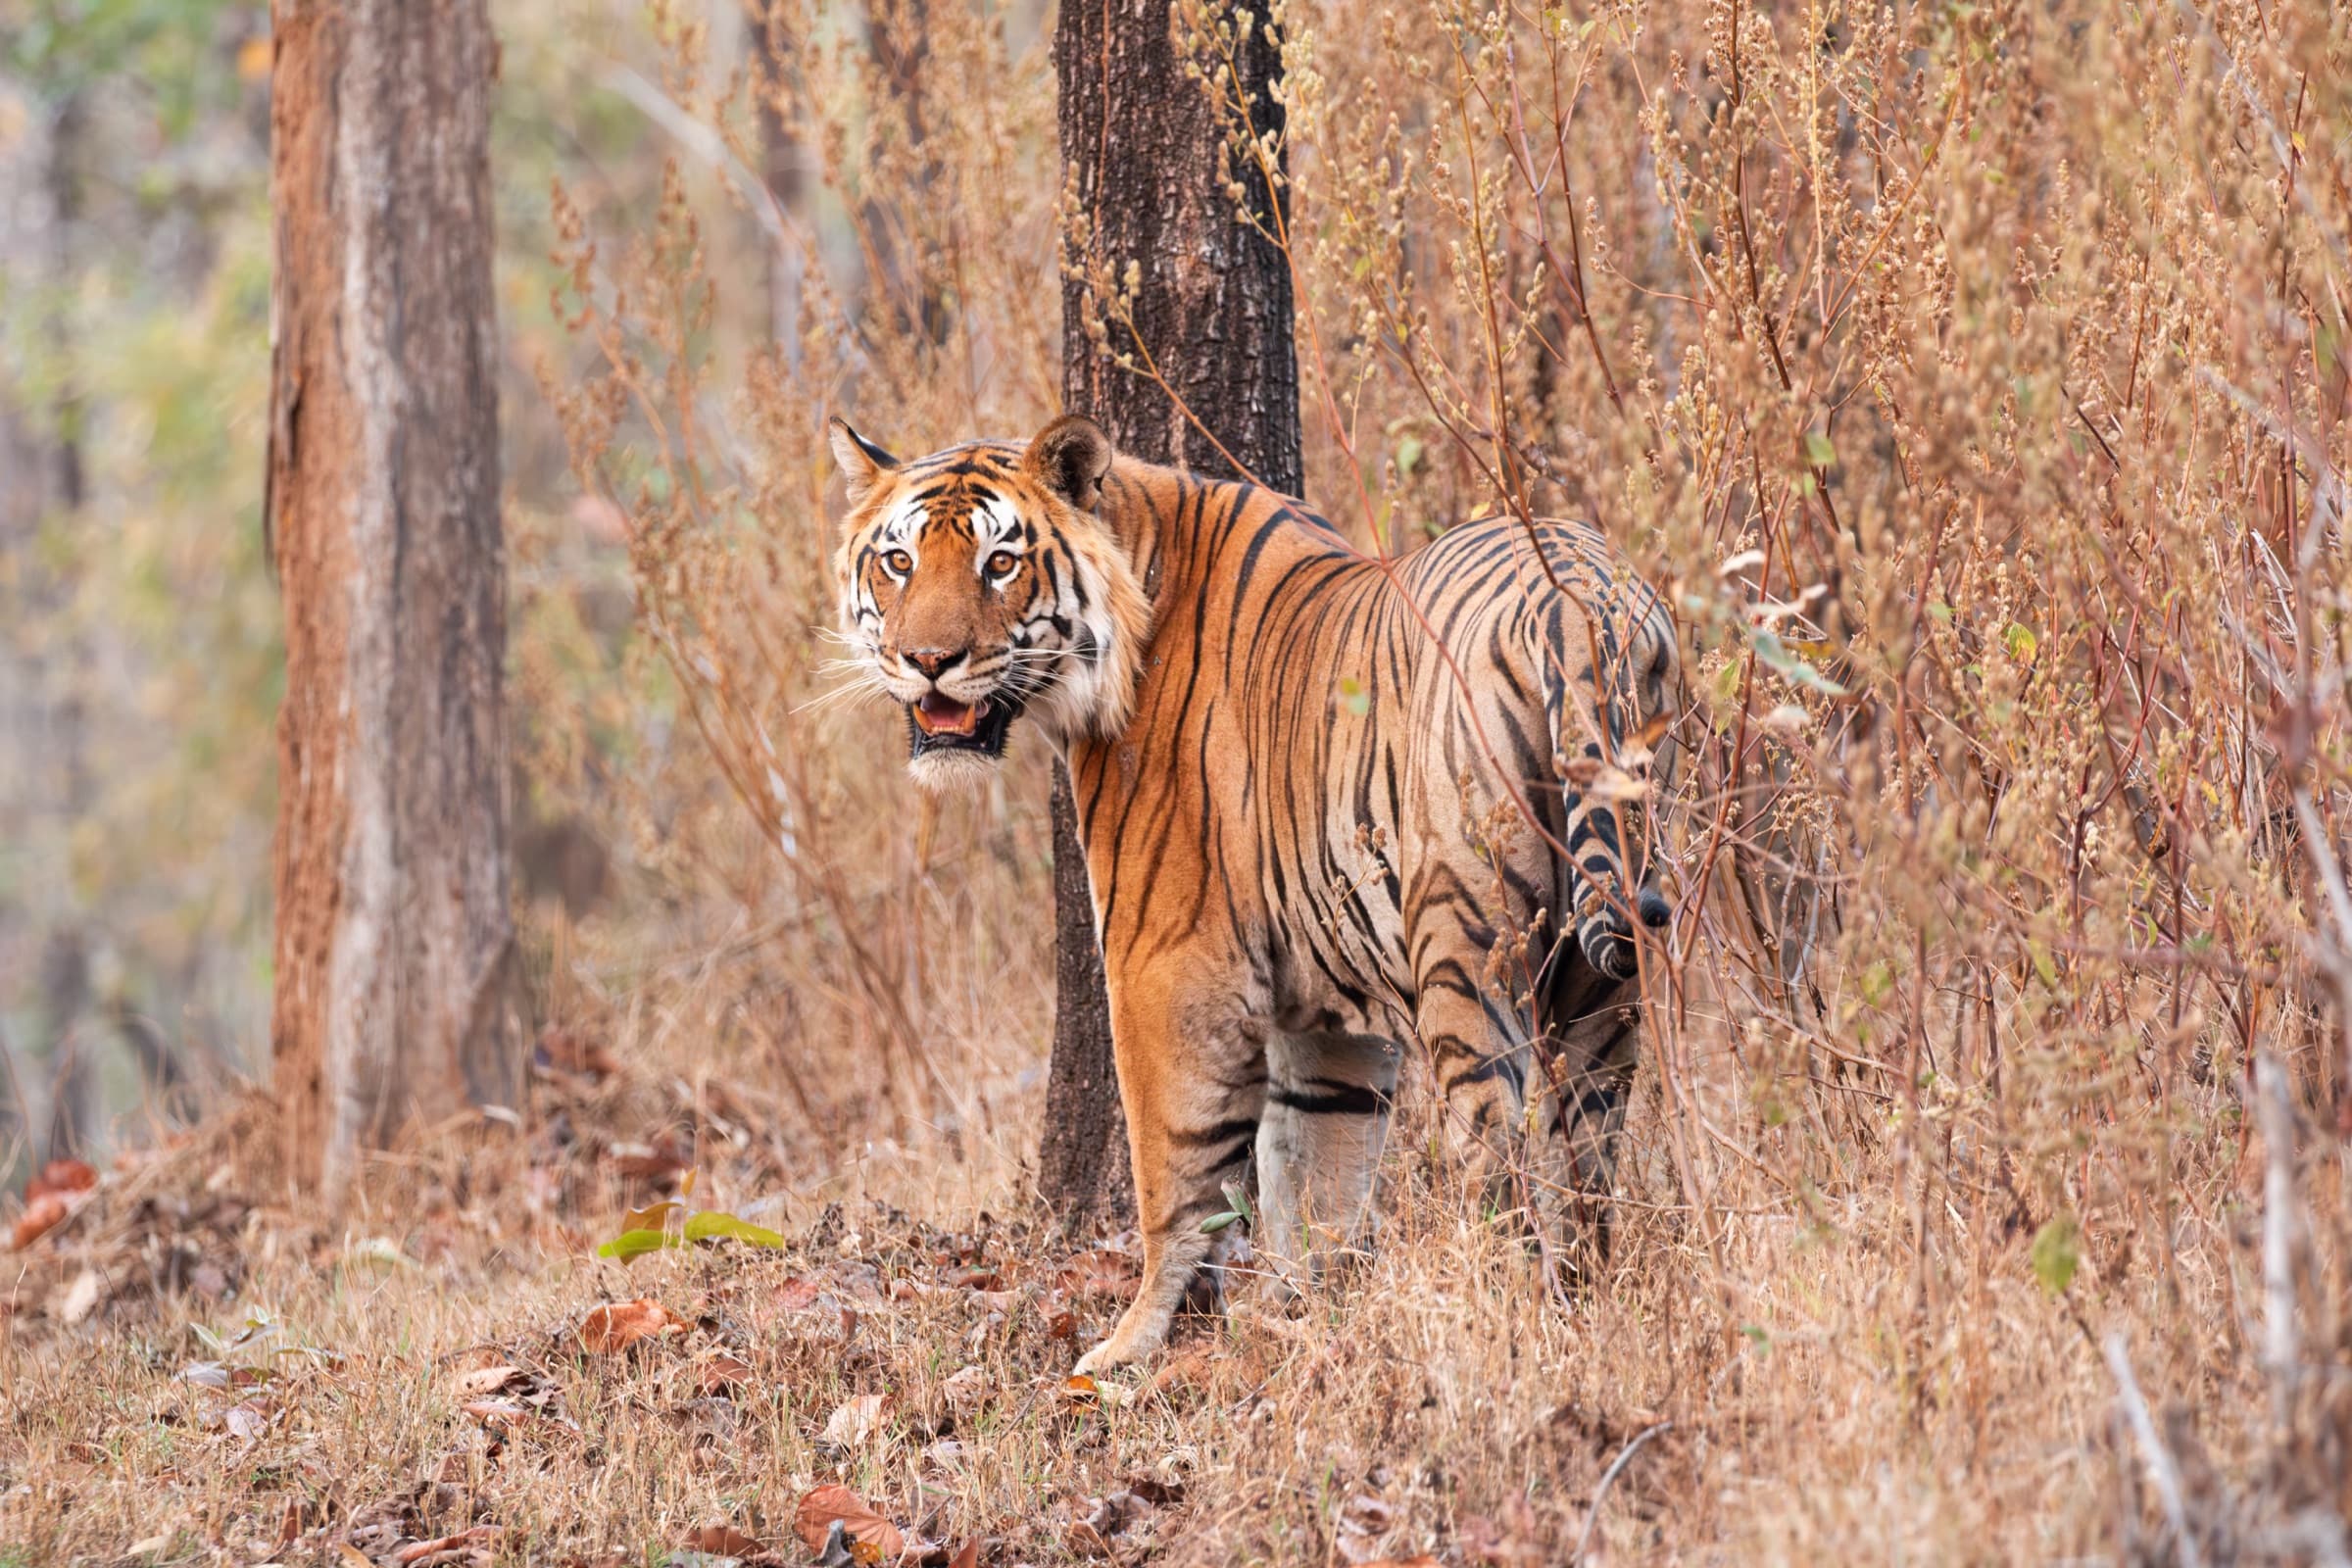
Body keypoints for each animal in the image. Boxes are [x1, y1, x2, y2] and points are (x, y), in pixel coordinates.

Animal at [829, 413, 1680, 1374]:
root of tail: (1574, 597)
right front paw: (1308, 1315)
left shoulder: (1164, 965)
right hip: (1606, 986)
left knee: (1497, 1164)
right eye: (899, 562)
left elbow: (1174, 1171)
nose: (928, 661)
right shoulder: (1330, 1019)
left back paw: (1507, 1321)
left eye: (1000, 563)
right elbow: (1318, 1179)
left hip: (1468, 953)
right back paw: (1586, 1304)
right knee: (1590, 1174)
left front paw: (1129, 1348)